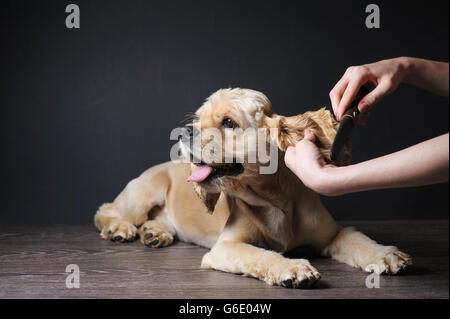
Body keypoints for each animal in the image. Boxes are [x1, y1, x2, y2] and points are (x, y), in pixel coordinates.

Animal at [94, 88, 412, 290]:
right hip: (147, 189)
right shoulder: (225, 248)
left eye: (229, 122)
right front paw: (292, 268)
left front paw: (385, 255)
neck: (274, 201)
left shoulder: (333, 234)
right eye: (197, 119)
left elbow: (357, 239)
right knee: (107, 209)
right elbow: (262, 255)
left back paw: (155, 232)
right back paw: (120, 229)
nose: (185, 131)